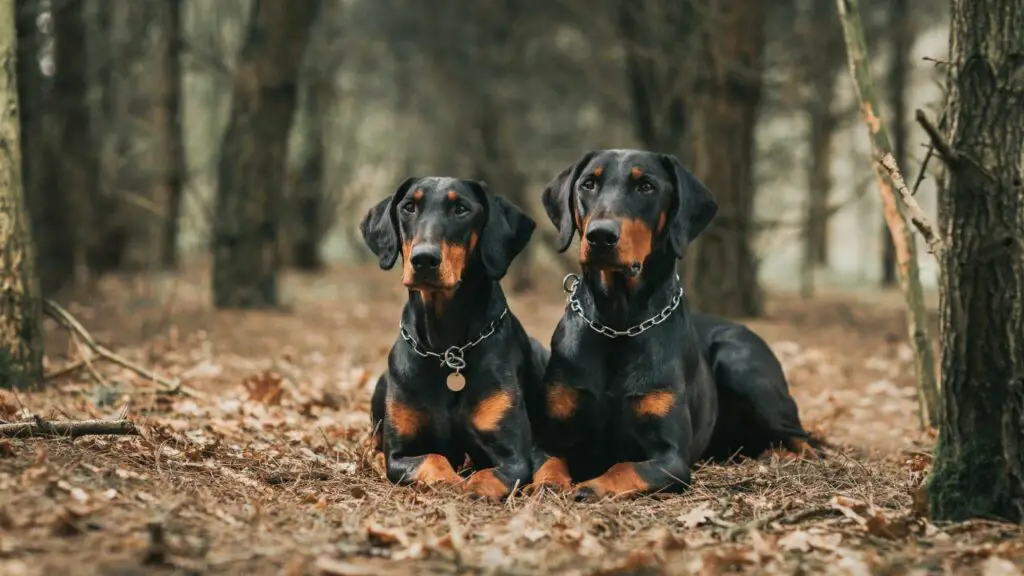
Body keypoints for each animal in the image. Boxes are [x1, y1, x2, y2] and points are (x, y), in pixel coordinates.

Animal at [362, 175, 552, 498]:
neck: (447, 347)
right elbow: (431, 458)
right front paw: (450, 479)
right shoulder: (400, 453)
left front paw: (470, 485)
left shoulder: (514, 456)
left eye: (461, 208)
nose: (424, 259)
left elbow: (490, 476)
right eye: (409, 206)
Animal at [532, 147, 819, 498]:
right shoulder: (551, 434)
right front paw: (547, 485)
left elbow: (624, 467)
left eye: (647, 187)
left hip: (739, 362)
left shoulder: (671, 457)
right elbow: (547, 463)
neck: (618, 323)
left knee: (803, 437)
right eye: (588, 184)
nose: (600, 235)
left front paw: (592, 487)